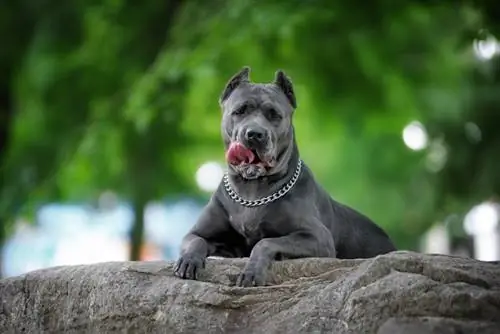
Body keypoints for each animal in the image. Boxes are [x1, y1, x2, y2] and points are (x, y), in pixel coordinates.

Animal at [174, 66, 396, 286]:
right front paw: (189, 260)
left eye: (274, 115)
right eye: (240, 111)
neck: (252, 191)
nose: (255, 134)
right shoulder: (199, 233)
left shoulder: (317, 237)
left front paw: (252, 272)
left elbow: (265, 242)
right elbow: (196, 240)